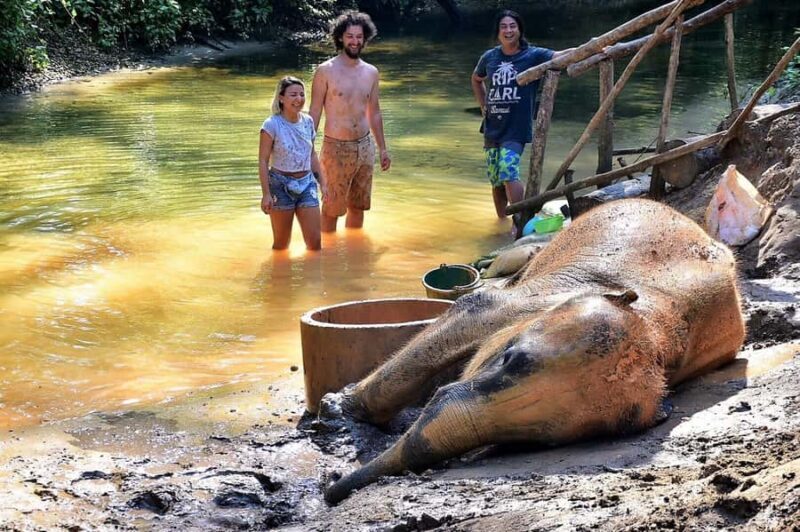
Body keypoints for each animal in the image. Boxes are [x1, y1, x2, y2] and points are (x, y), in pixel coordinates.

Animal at [324, 198, 745, 504]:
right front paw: (343, 411)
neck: (658, 328)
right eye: (509, 358)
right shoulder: (535, 298)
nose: (332, 494)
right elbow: (475, 305)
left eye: (531, 443)